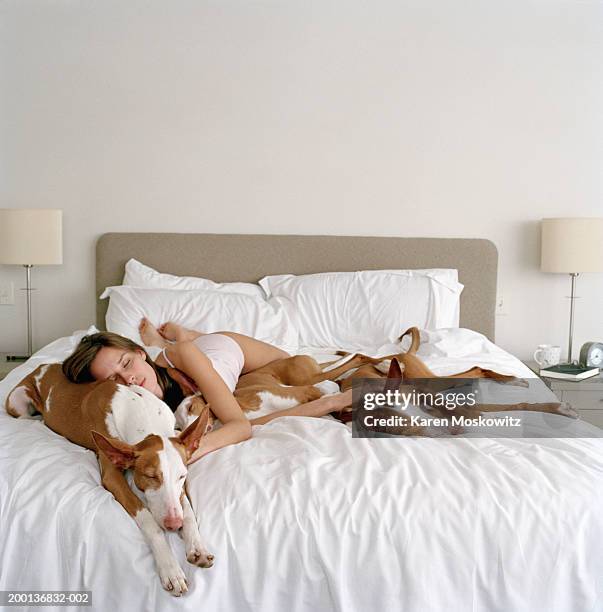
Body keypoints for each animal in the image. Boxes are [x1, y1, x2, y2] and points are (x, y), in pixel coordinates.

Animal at [5, 364, 214, 596]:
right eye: (150, 476)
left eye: (181, 476)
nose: (174, 524)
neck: (140, 408)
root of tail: (45, 366)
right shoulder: (112, 475)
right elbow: (149, 520)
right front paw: (170, 568)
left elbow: (188, 511)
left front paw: (197, 545)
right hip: (16, 400)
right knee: (26, 417)